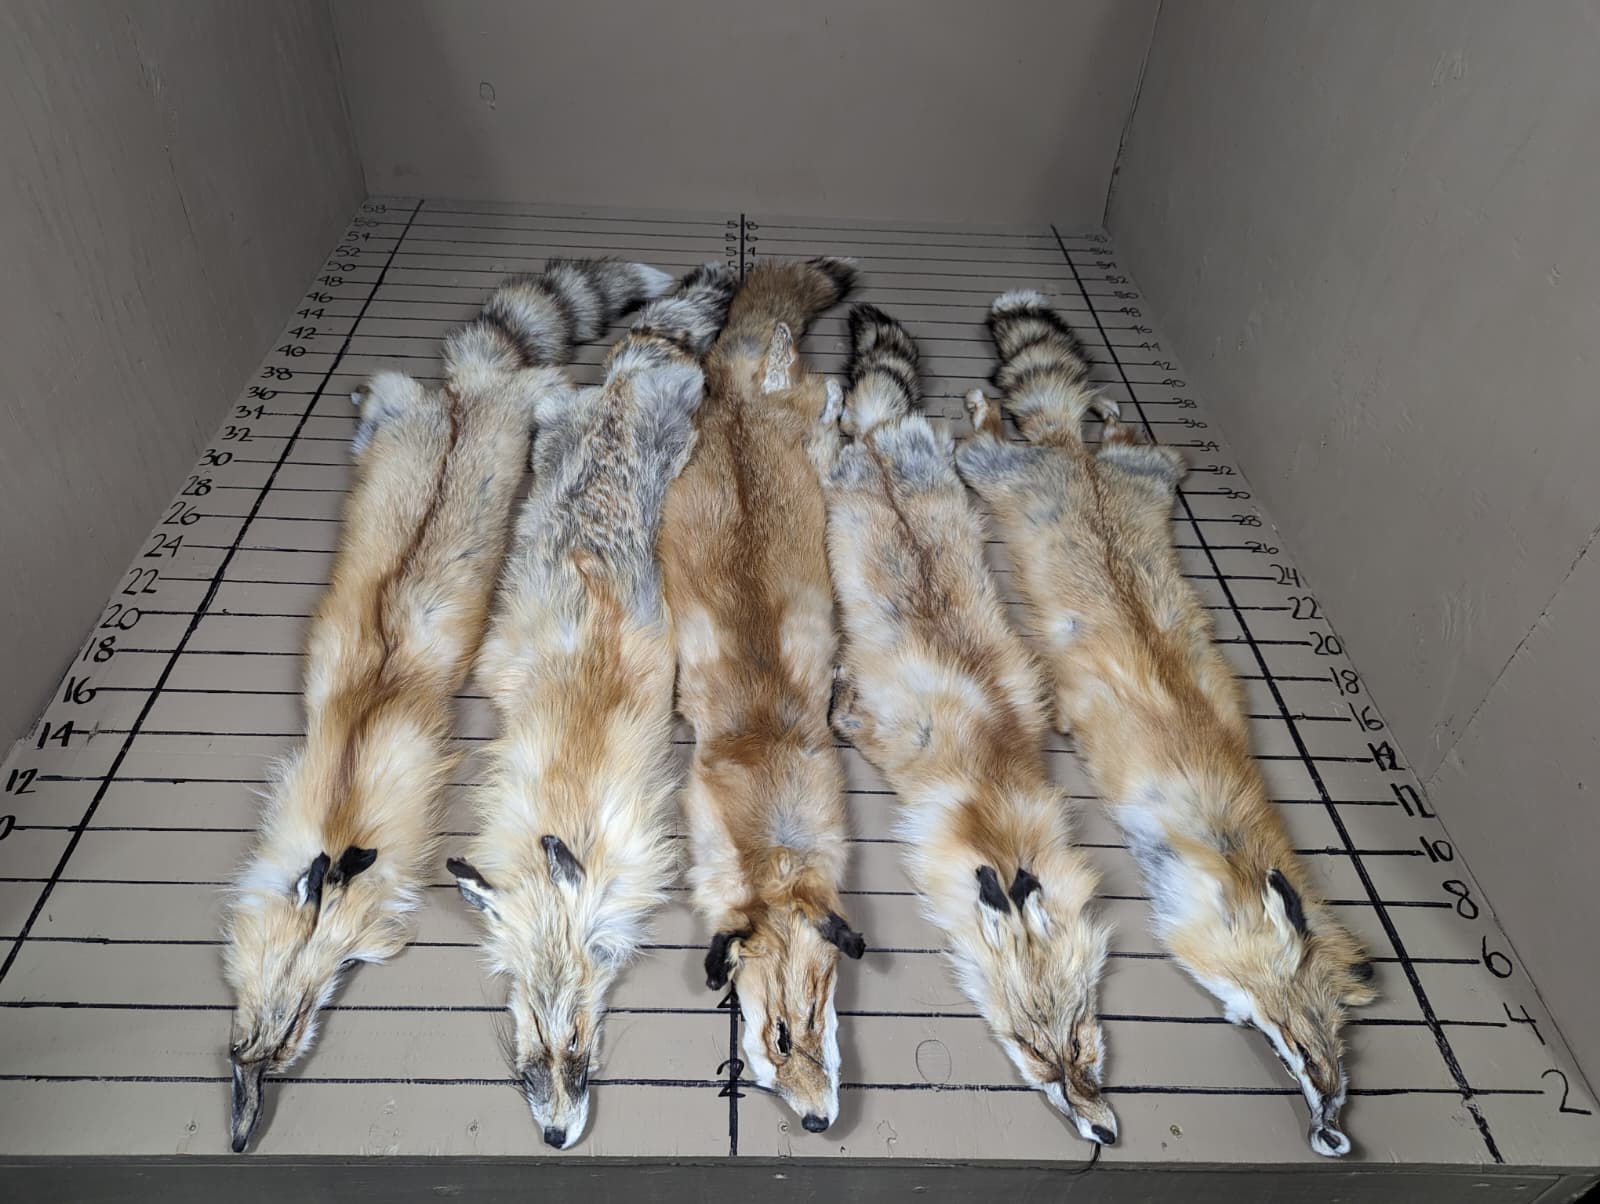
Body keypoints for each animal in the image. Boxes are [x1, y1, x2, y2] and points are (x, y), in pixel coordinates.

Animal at [221, 257, 671, 1153]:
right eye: (237, 1046)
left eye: (285, 1044)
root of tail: (470, 393)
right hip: (430, 407)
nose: (239, 1139)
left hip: (530, 403)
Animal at [447, 262, 738, 1150]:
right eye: (527, 1060)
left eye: (576, 1048)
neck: (565, 792)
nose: (553, 1138)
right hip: (561, 421)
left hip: (685, 407)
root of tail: (625, 383)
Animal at [811, 304, 1116, 1147]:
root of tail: (881, 443)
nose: (1107, 1135)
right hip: (840, 472)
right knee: (844, 426)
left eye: (1082, 1040)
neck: (991, 797)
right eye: (1033, 1053)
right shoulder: (879, 740)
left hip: (938, 463)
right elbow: (842, 713)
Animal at [954, 290, 1378, 1157]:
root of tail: (1071, 458)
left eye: (1344, 1063)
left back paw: (1107, 413)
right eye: (1300, 1043)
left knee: (1117, 434)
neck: (1232, 848)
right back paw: (985, 405)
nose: (1334, 1138)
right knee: (993, 433)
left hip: (1154, 473)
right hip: (989, 469)